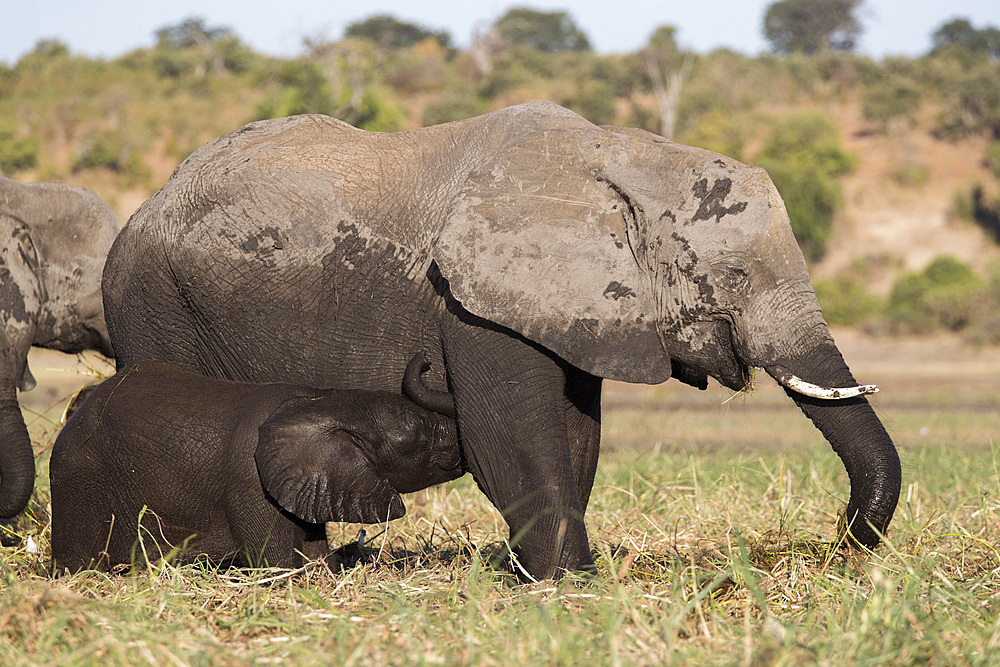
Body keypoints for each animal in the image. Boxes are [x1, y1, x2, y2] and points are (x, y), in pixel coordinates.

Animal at [50, 354, 460, 576]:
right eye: (421, 435)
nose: (427, 361)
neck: (324, 399)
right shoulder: (250, 483)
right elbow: (277, 564)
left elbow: (313, 554)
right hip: (79, 485)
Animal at [105, 99, 904, 580]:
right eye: (730, 275)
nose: (836, 548)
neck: (622, 154)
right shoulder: (474, 298)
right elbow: (510, 435)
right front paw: (567, 584)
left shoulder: (569, 304)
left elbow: (576, 433)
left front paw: (550, 578)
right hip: (153, 302)